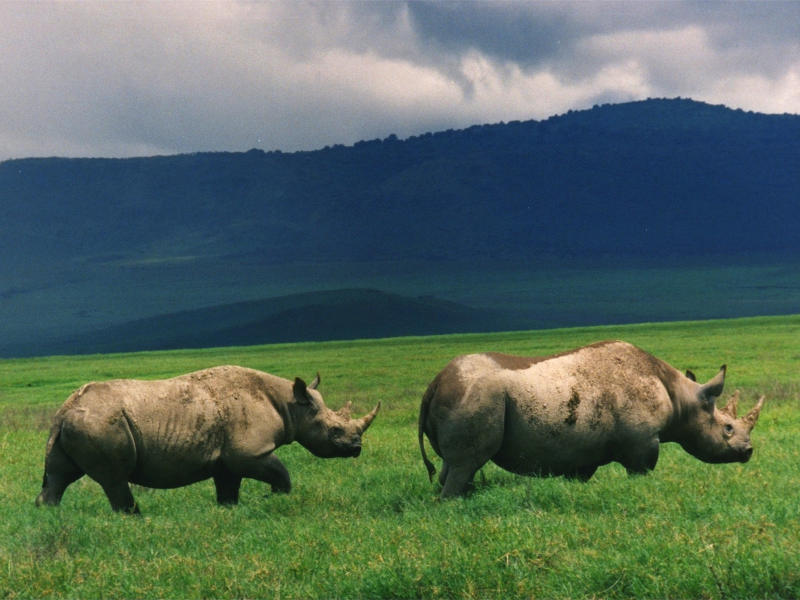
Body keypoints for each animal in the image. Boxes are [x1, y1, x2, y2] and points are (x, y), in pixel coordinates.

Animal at [34, 364, 378, 512]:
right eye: (334, 431)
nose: (357, 447)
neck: (291, 405)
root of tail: (63, 411)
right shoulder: (249, 452)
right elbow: (281, 473)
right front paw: (275, 499)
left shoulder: (227, 459)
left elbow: (228, 489)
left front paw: (230, 511)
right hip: (101, 423)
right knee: (114, 479)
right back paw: (135, 518)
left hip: (76, 424)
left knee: (59, 476)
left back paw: (50, 516)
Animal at [418, 340, 764, 500]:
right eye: (727, 428)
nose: (748, 451)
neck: (683, 398)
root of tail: (434, 383)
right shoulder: (641, 443)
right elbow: (641, 471)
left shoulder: (581, 452)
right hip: (476, 395)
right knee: (465, 464)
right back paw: (453, 502)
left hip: (465, 395)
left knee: (453, 465)